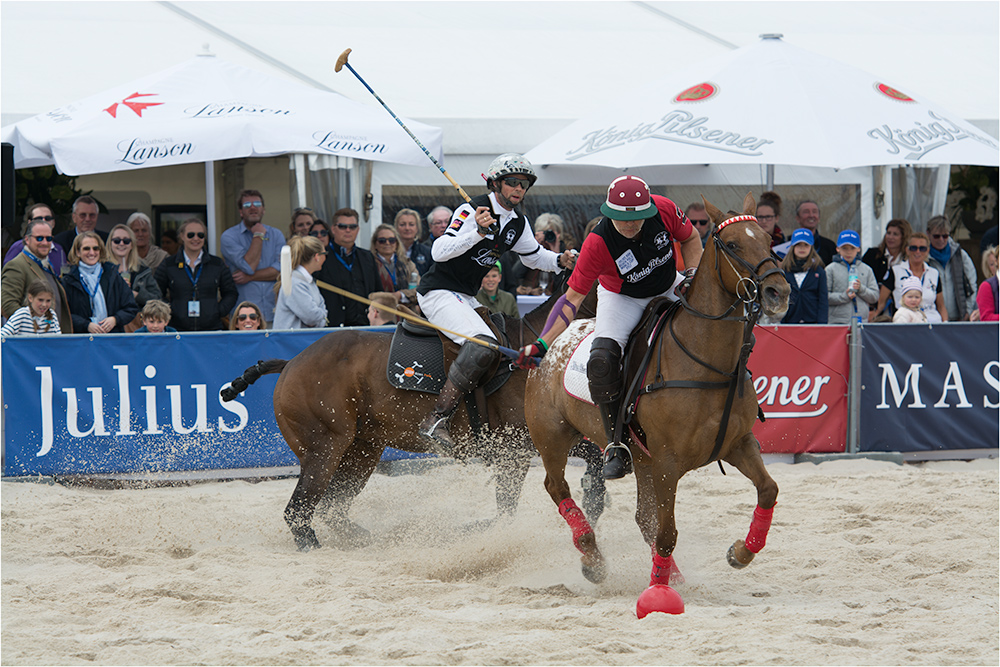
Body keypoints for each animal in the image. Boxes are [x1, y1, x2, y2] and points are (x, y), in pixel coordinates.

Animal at [225, 292, 600, 552]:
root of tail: (290, 363)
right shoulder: (517, 448)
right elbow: (504, 513)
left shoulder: (539, 444)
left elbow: (593, 459)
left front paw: (596, 499)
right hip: (324, 448)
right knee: (299, 511)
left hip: (362, 452)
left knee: (332, 508)